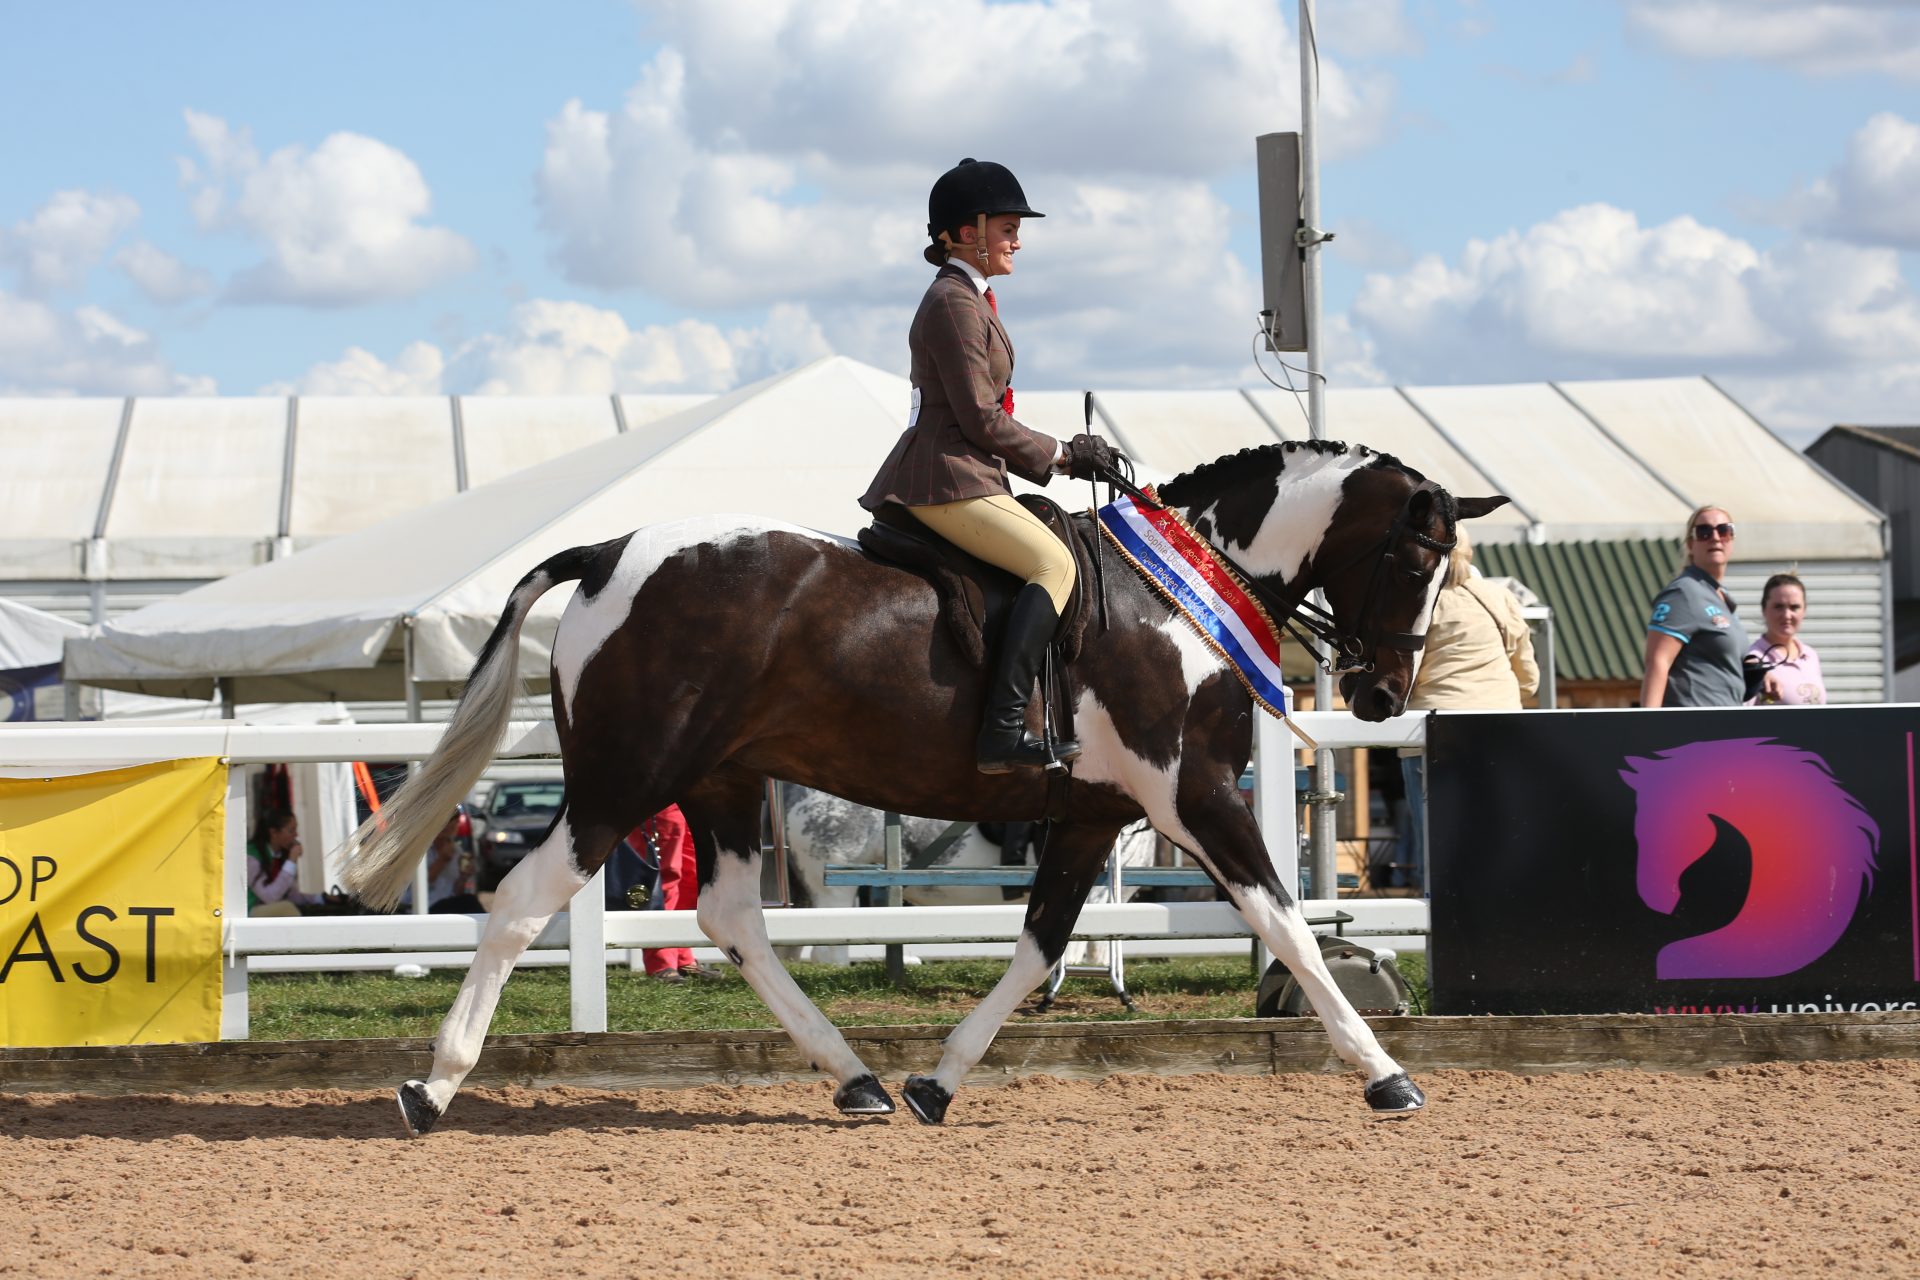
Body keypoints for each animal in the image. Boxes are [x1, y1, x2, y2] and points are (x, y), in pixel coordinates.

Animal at [339, 439, 1507, 1135]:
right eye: (1416, 564)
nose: (1380, 693)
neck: (1183, 594)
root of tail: (606, 551)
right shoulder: (1196, 793)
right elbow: (1290, 924)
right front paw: (1385, 1072)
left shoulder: (1092, 813)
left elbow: (1039, 945)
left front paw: (936, 1081)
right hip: (625, 778)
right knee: (519, 903)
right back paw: (431, 1085)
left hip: (720, 779)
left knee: (731, 916)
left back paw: (854, 1077)